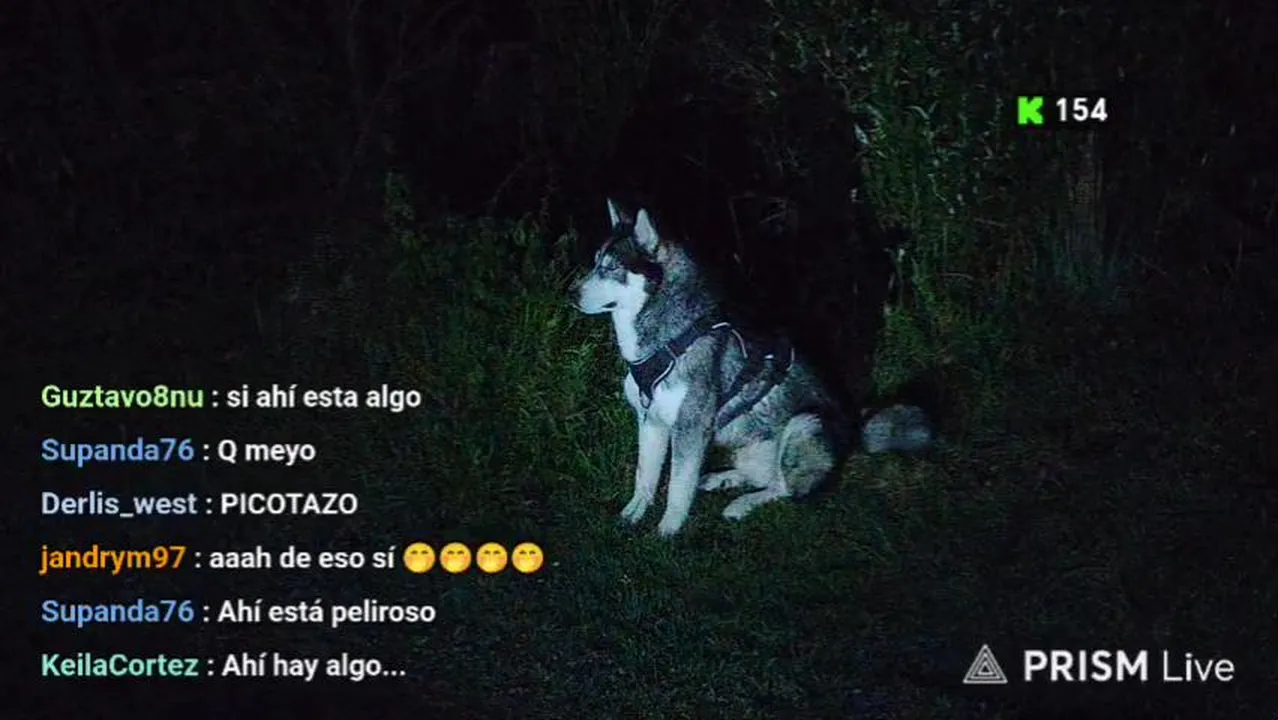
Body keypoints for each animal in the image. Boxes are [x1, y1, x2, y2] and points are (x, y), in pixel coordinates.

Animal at [573, 199, 933, 536]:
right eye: (595, 263)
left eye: (610, 267)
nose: (571, 294)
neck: (672, 338)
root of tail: (856, 432)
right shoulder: (651, 420)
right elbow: (644, 477)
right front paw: (633, 514)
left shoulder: (690, 427)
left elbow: (677, 487)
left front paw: (668, 531)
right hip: (748, 445)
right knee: (760, 475)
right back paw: (723, 480)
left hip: (805, 424)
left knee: (784, 489)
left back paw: (742, 504)